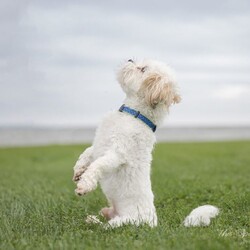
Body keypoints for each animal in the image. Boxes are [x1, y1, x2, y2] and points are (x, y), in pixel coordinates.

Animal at [73, 59, 181, 228]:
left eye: (142, 69)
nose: (130, 59)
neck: (133, 115)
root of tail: (153, 223)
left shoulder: (117, 154)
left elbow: (97, 165)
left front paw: (84, 185)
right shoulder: (98, 145)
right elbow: (86, 153)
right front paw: (78, 170)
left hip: (121, 223)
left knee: (103, 226)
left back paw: (92, 223)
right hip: (109, 211)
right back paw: (92, 218)